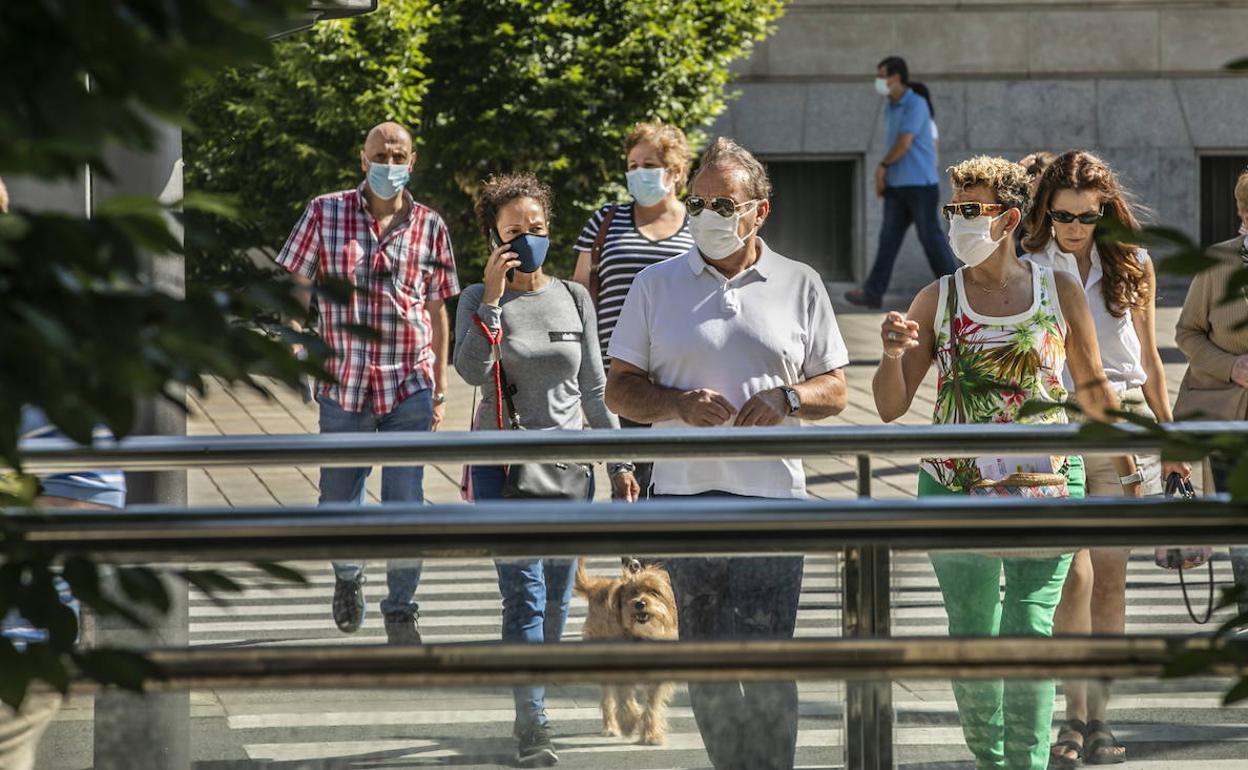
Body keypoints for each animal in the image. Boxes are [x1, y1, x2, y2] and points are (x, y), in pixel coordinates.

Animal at [576, 556, 683, 743]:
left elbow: (652, 704)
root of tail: (596, 587)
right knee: (607, 698)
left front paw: (650, 734)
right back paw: (610, 727)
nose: (639, 604)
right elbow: (625, 699)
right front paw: (628, 722)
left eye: (654, 592)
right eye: (633, 592)